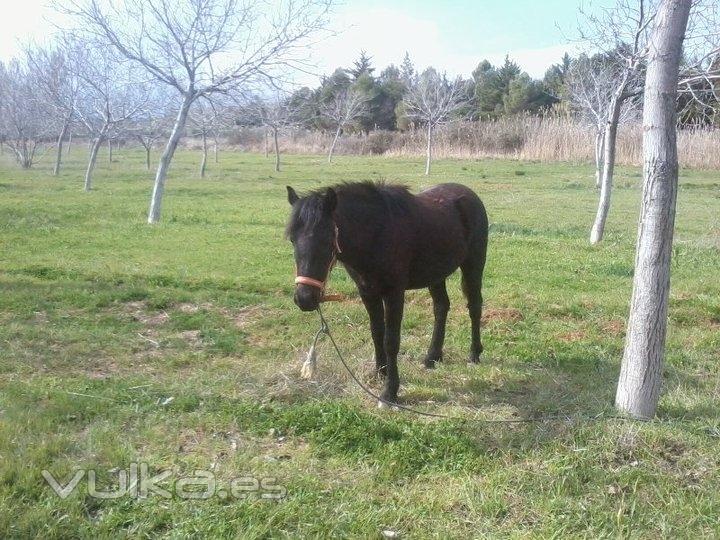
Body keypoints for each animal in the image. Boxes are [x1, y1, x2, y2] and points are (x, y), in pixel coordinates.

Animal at [286, 181, 490, 404]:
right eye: (292, 239)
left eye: (328, 238)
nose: (305, 298)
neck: (377, 234)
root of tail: (469, 194)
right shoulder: (368, 293)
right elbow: (377, 333)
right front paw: (380, 372)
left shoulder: (394, 293)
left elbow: (391, 341)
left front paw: (390, 391)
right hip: (436, 274)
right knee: (441, 307)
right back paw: (432, 357)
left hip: (473, 264)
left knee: (474, 307)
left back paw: (474, 354)